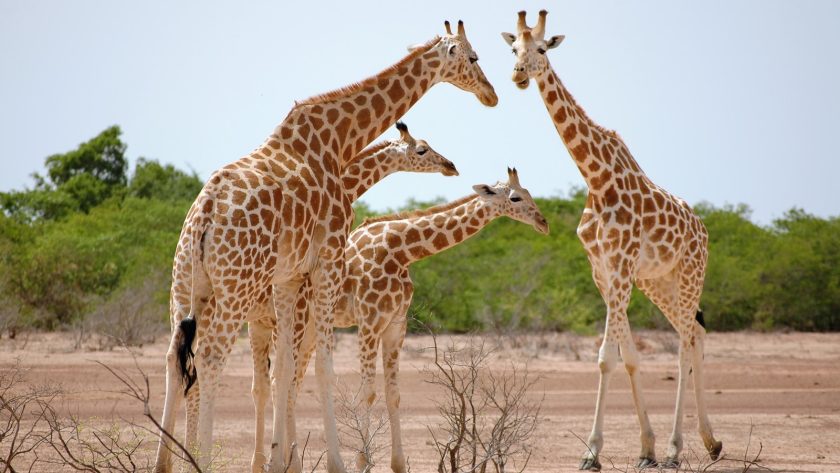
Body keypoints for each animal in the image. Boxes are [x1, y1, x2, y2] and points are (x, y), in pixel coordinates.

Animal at [238, 121, 460, 472]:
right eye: (422, 149)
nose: (450, 165)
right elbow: (288, 380)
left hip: (259, 322)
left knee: (260, 385)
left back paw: (259, 461)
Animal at [288, 168, 552, 472]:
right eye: (515, 197)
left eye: (530, 192)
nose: (544, 223)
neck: (402, 252)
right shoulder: (369, 322)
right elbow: (367, 392)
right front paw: (363, 462)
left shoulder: (396, 325)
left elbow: (393, 394)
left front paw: (398, 463)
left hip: (310, 329)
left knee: (292, 379)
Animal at [502, 10, 724, 468]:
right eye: (513, 48)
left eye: (542, 49)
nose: (518, 75)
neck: (596, 178)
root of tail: (702, 228)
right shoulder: (602, 270)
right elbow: (626, 356)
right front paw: (642, 449)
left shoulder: (620, 264)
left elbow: (609, 357)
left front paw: (599, 452)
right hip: (658, 282)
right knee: (695, 335)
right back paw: (710, 442)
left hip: (690, 273)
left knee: (684, 343)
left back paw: (678, 449)